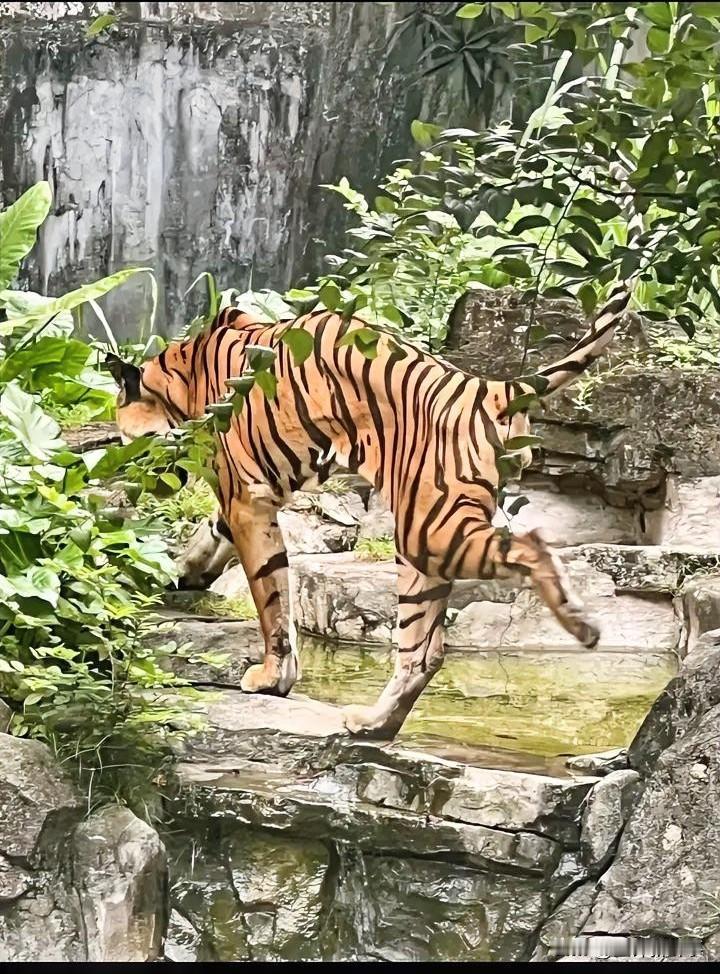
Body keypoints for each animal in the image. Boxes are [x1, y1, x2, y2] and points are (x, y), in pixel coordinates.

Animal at [108, 284, 631, 739]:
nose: (134, 481)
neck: (185, 375)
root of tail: (490, 388)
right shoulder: (251, 494)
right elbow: (214, 534)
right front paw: (182, 570)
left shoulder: (245, 497)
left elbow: (270, 594)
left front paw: (272, 676)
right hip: (424, 548)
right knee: (425, 652)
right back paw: (374, 724)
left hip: (429, 530)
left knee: (529, 546)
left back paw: (581, 623)